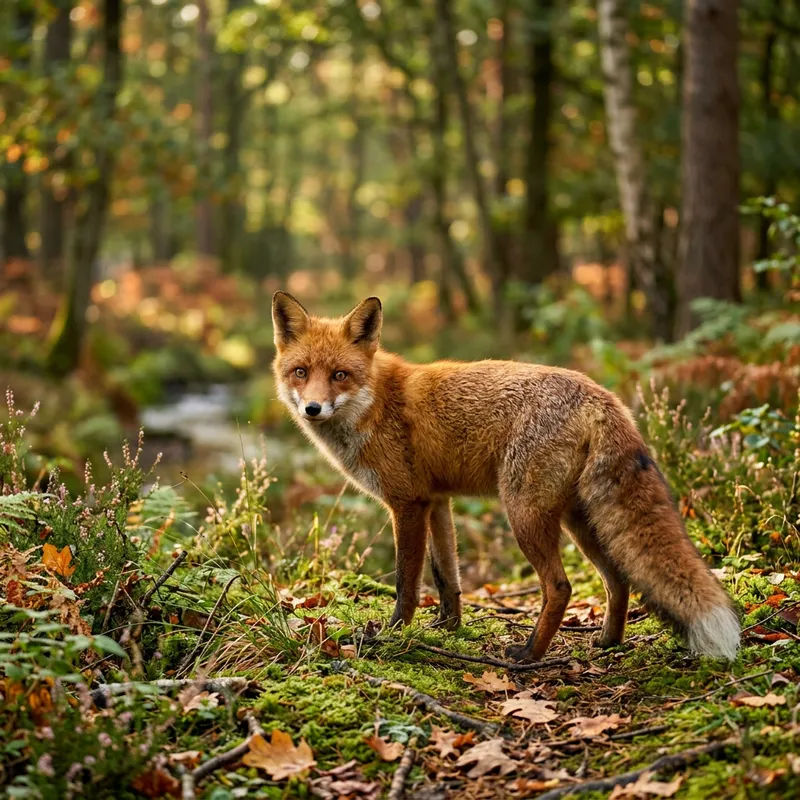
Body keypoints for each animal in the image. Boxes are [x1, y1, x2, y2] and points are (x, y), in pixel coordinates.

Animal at [271, 291, 740, 661]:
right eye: (301, 372)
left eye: (340, 375)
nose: (312, 408)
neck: (374, 403)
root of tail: (601, 395)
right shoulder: (436, 501)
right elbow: (447, 577)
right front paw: (448, 627)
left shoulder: (407, 504)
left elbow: (407, 583)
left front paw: (393, 634)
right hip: (579, 520)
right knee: (616, 579)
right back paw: (608, 642)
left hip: (524, 513)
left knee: (560, 586)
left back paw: (530, 653)